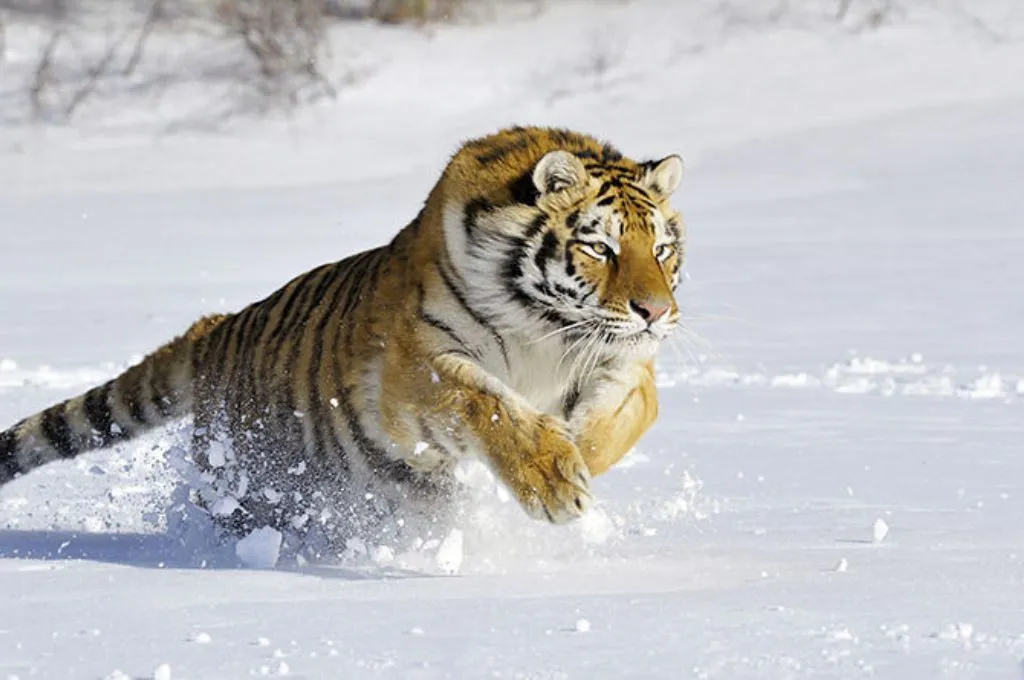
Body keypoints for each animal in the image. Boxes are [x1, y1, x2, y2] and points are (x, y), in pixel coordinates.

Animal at [0, 126, 685, 544]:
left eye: (661, 249)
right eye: (599, 248)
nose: (655, 311)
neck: (545, 330)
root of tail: (215, 329)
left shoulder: (623, 364)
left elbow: (618, 415)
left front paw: (579, 456)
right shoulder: (417, 367)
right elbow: (486, 402)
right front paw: (553, 480)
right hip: (254, 483)